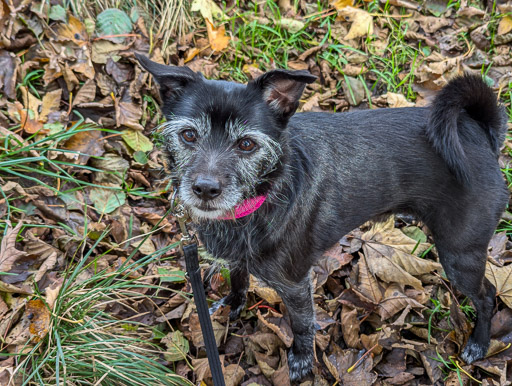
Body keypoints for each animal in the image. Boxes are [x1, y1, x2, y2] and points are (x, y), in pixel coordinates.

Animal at [136, 52, 508, 382]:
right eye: (188, 135)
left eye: (246, 144)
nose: (205, 188)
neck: (261, 198)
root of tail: (477, 133)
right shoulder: (238, 258)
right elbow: (238, 279)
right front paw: (232, 305)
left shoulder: (296, 286)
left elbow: (301, 326)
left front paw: (301, 361)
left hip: (460, 255)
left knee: (487, 295)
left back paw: (478, 343)